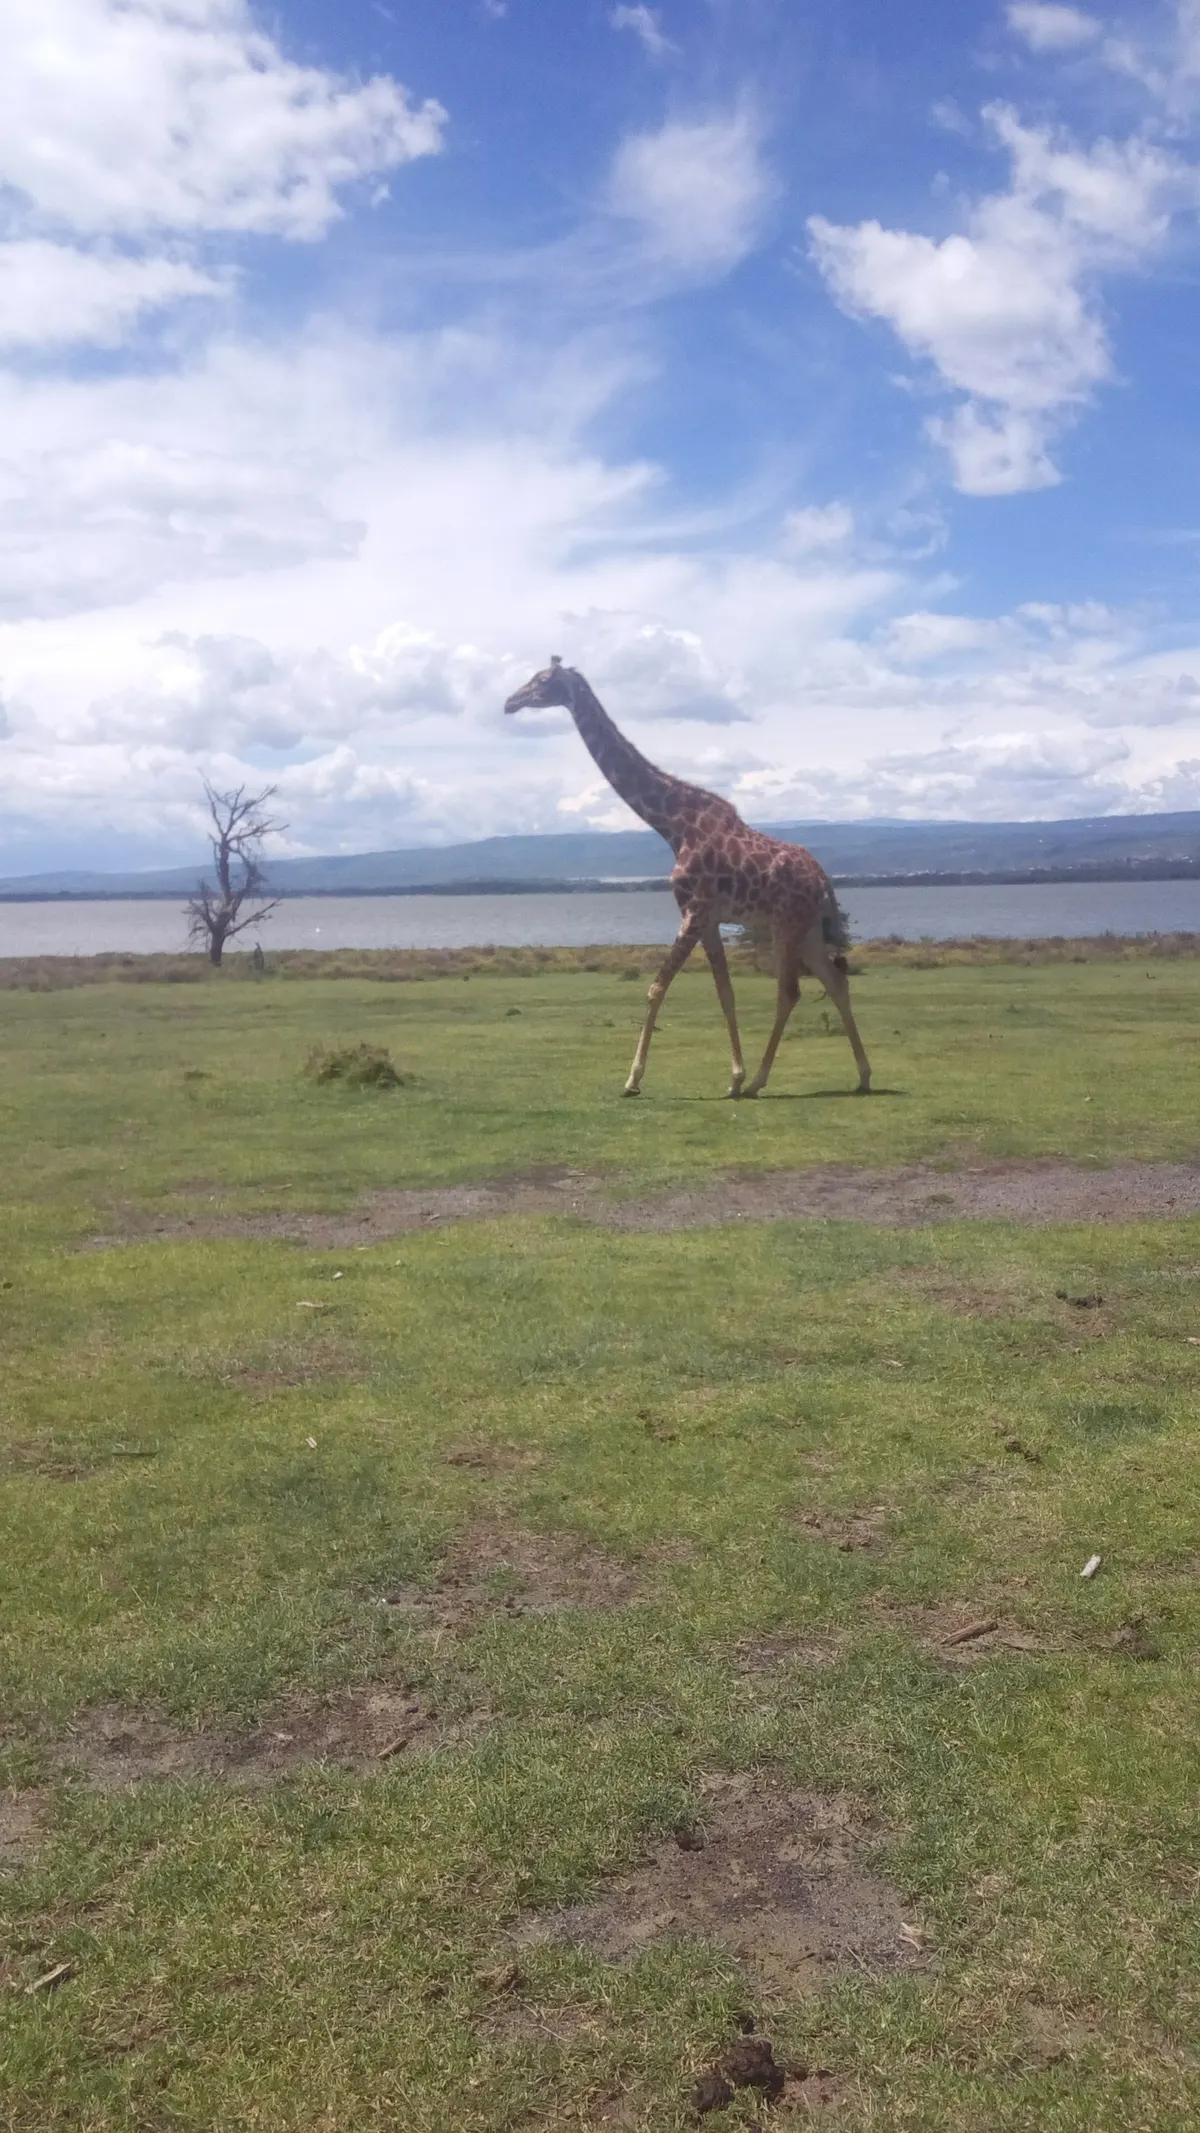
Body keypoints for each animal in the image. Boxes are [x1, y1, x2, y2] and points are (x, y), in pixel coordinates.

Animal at [504, 659, 872, 1099]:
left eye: (542, 681)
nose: (509, 702)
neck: (673, 825)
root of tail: (822, 881)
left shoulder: (693, 911)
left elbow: (656, 988)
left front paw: (633, 1080)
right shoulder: (708, 919)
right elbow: (725, 993)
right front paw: (734, 1077)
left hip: (787, 925)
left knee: (790, 991)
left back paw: (764, 1080)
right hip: (808, 930)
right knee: (836, 981)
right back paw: (862, 1075)